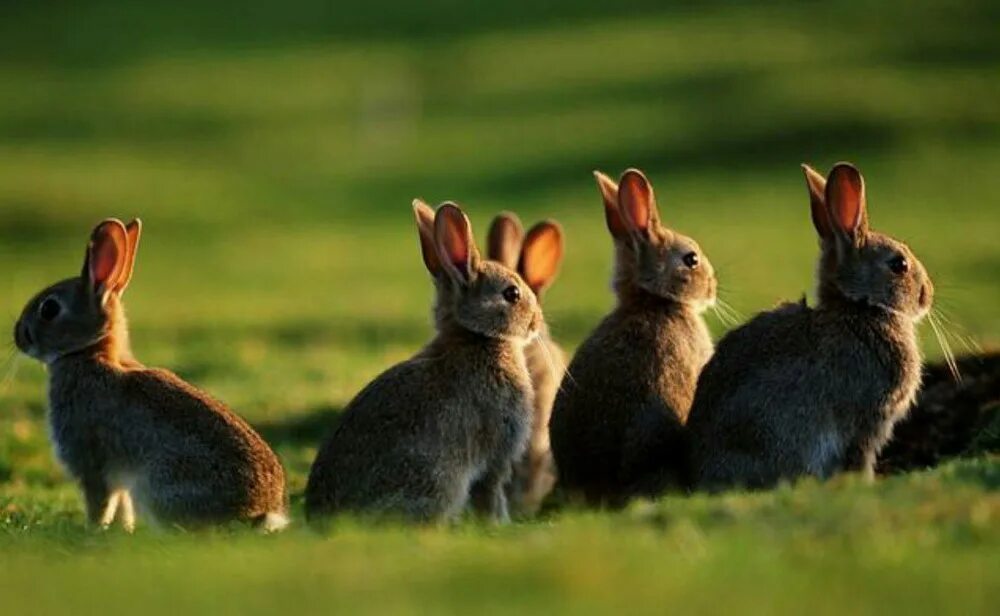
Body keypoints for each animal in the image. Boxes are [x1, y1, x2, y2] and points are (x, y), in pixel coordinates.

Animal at [14, 219, 290, 532]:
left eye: (49, 309)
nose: (18, 336)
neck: (88, 353)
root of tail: (254, 515)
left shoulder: (92, 462)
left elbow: (100, 503)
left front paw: (94, 530)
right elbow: (121, 506)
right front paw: (121, 531)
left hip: (158, 488)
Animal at [304, 202, 544, 524]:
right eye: (512, 293)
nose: (536, 321)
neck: (480, 337)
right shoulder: (496, 454)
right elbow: (491, 494)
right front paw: (500, 524)